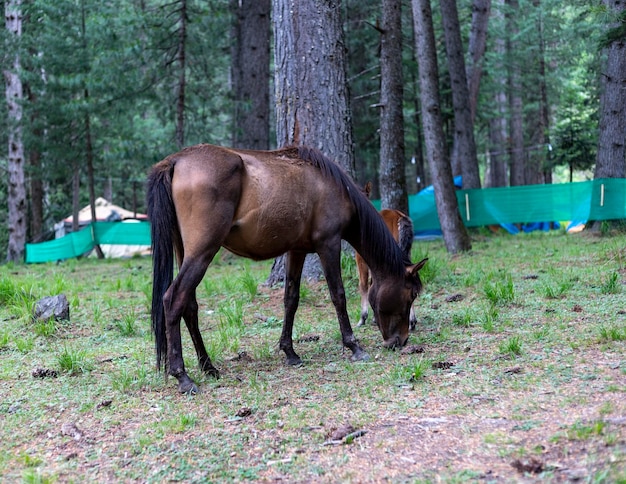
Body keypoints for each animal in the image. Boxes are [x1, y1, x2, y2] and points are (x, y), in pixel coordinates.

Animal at [356, 183, 420, 330]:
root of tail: (399, 216)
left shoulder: (361, 259)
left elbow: (364, 285)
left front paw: (363, 318)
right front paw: (375, 318)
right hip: (406, 252)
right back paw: (412, 322)